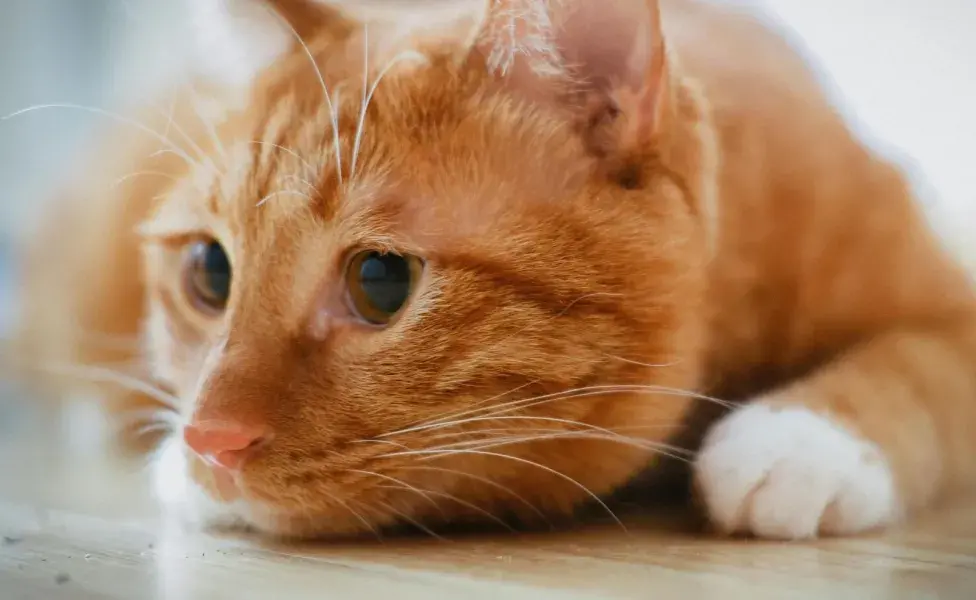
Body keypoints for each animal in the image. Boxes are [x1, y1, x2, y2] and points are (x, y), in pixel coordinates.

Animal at [13, 0, 976, 540]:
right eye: (211, 273)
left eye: (380, 283)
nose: (210, 442)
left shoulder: (948, 301)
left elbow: (915, 366)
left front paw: (804, 439)